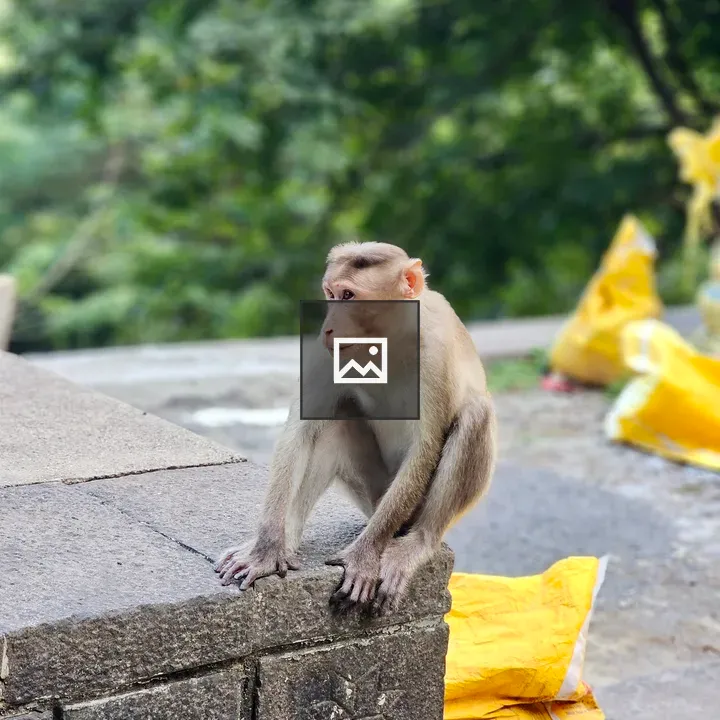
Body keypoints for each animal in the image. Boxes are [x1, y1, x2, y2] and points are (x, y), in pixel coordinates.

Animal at [215, 241, 497, 612]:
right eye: (331, 294)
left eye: (349, 295)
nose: (329, 327)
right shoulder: (329, 350)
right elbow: (301, 429)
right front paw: (267, 549)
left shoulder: (436, 353)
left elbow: (425, 447)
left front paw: (363, 558)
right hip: (372, 495)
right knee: (336, 422)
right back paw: (289, 538)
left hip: (406, 512)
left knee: (476, 415)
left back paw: (417, 543)